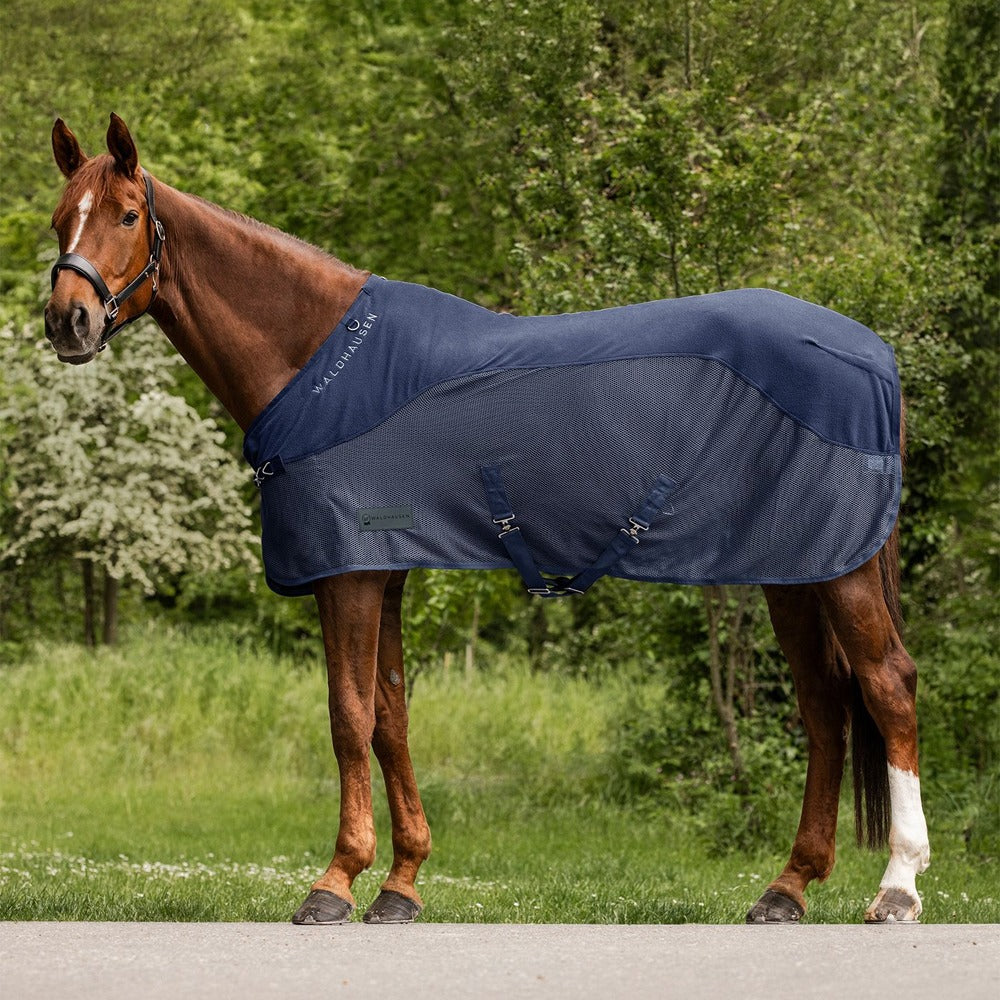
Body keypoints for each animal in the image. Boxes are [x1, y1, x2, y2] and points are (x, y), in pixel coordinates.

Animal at [43, 114, 930, 925]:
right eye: (60, 219)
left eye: (127, 214)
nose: (67, 321)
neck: (321, 363)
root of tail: (872, 352)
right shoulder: (386, 572)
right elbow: (392, 717)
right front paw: (400, 885)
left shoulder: (349, 571)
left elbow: (348, 717)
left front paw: (336, 881)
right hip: (795, 572)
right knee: (824, 708)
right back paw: (787, 888)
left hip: (840, 571)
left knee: (886, 688)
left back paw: (897, 888)